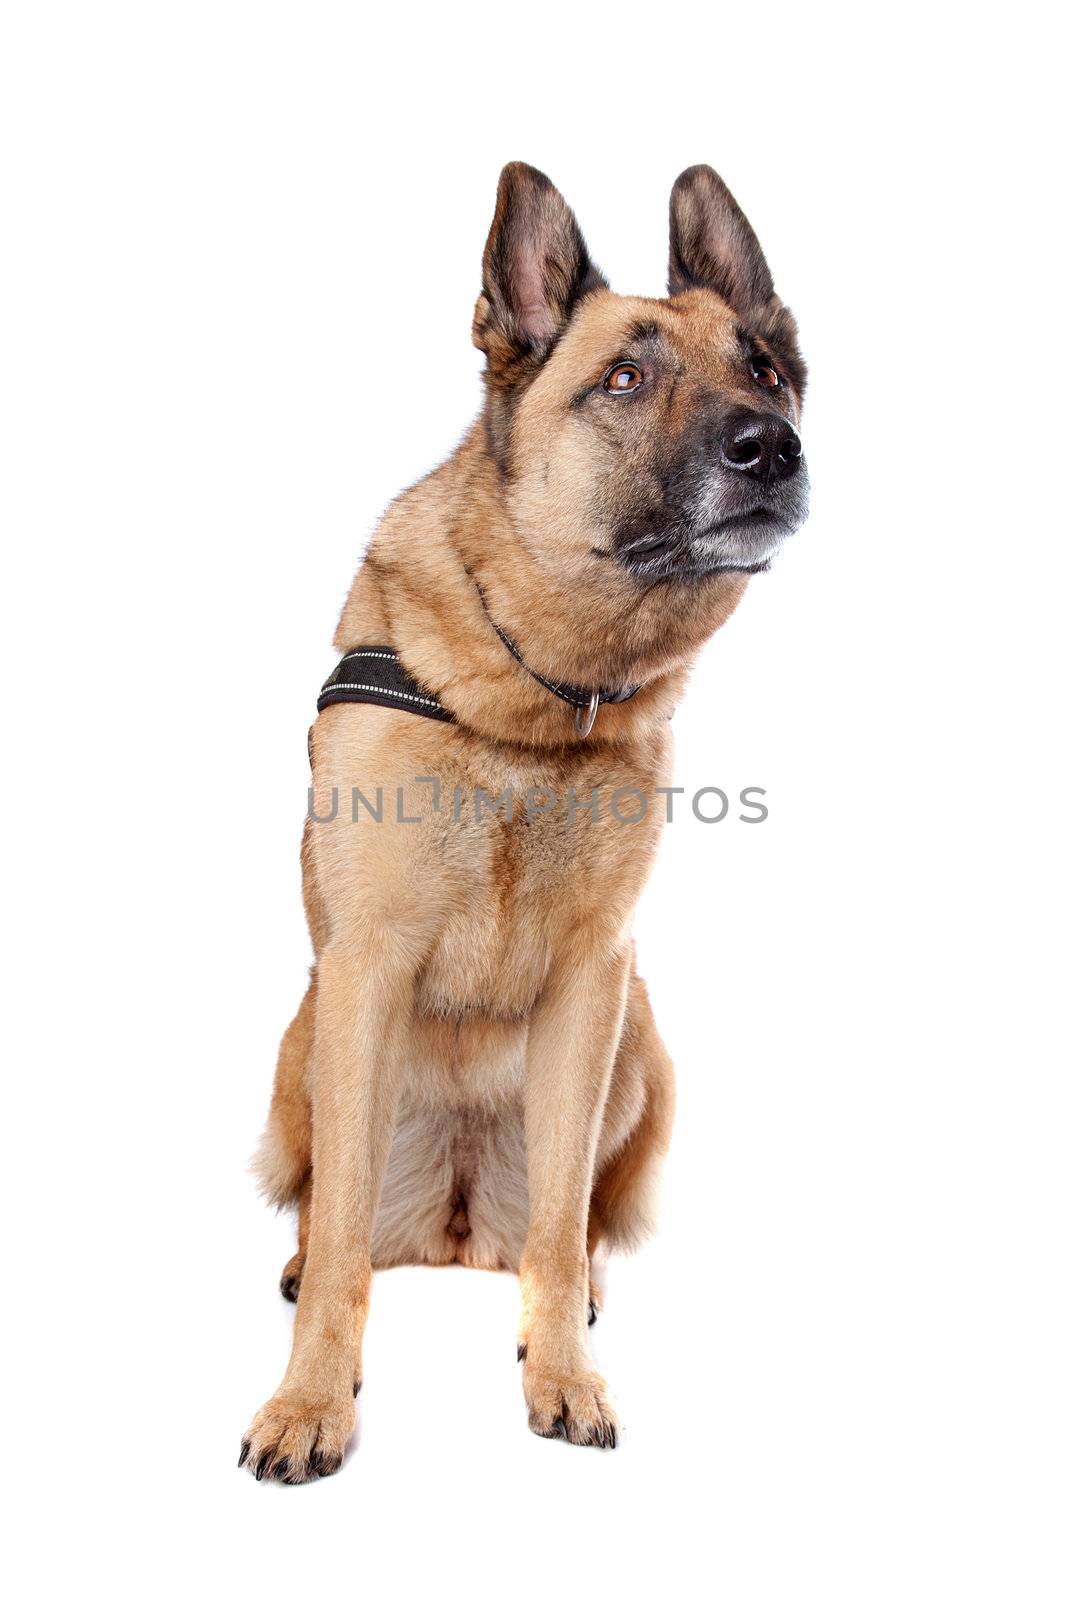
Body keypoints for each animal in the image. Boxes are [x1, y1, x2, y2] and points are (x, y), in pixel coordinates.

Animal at [244, 165, 809, 1484]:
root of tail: (453, 1227)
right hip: (302, 1042)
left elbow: (557, 1224)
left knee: (572, 1218)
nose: (772, 447)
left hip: (642, 1044)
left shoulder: (591, 981)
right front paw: (309, 1401)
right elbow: (339, 1239)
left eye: (763, 366)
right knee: (327, 1209)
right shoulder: (364, 968)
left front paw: (563, 1375)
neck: (537, 697)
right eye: (624, 378)